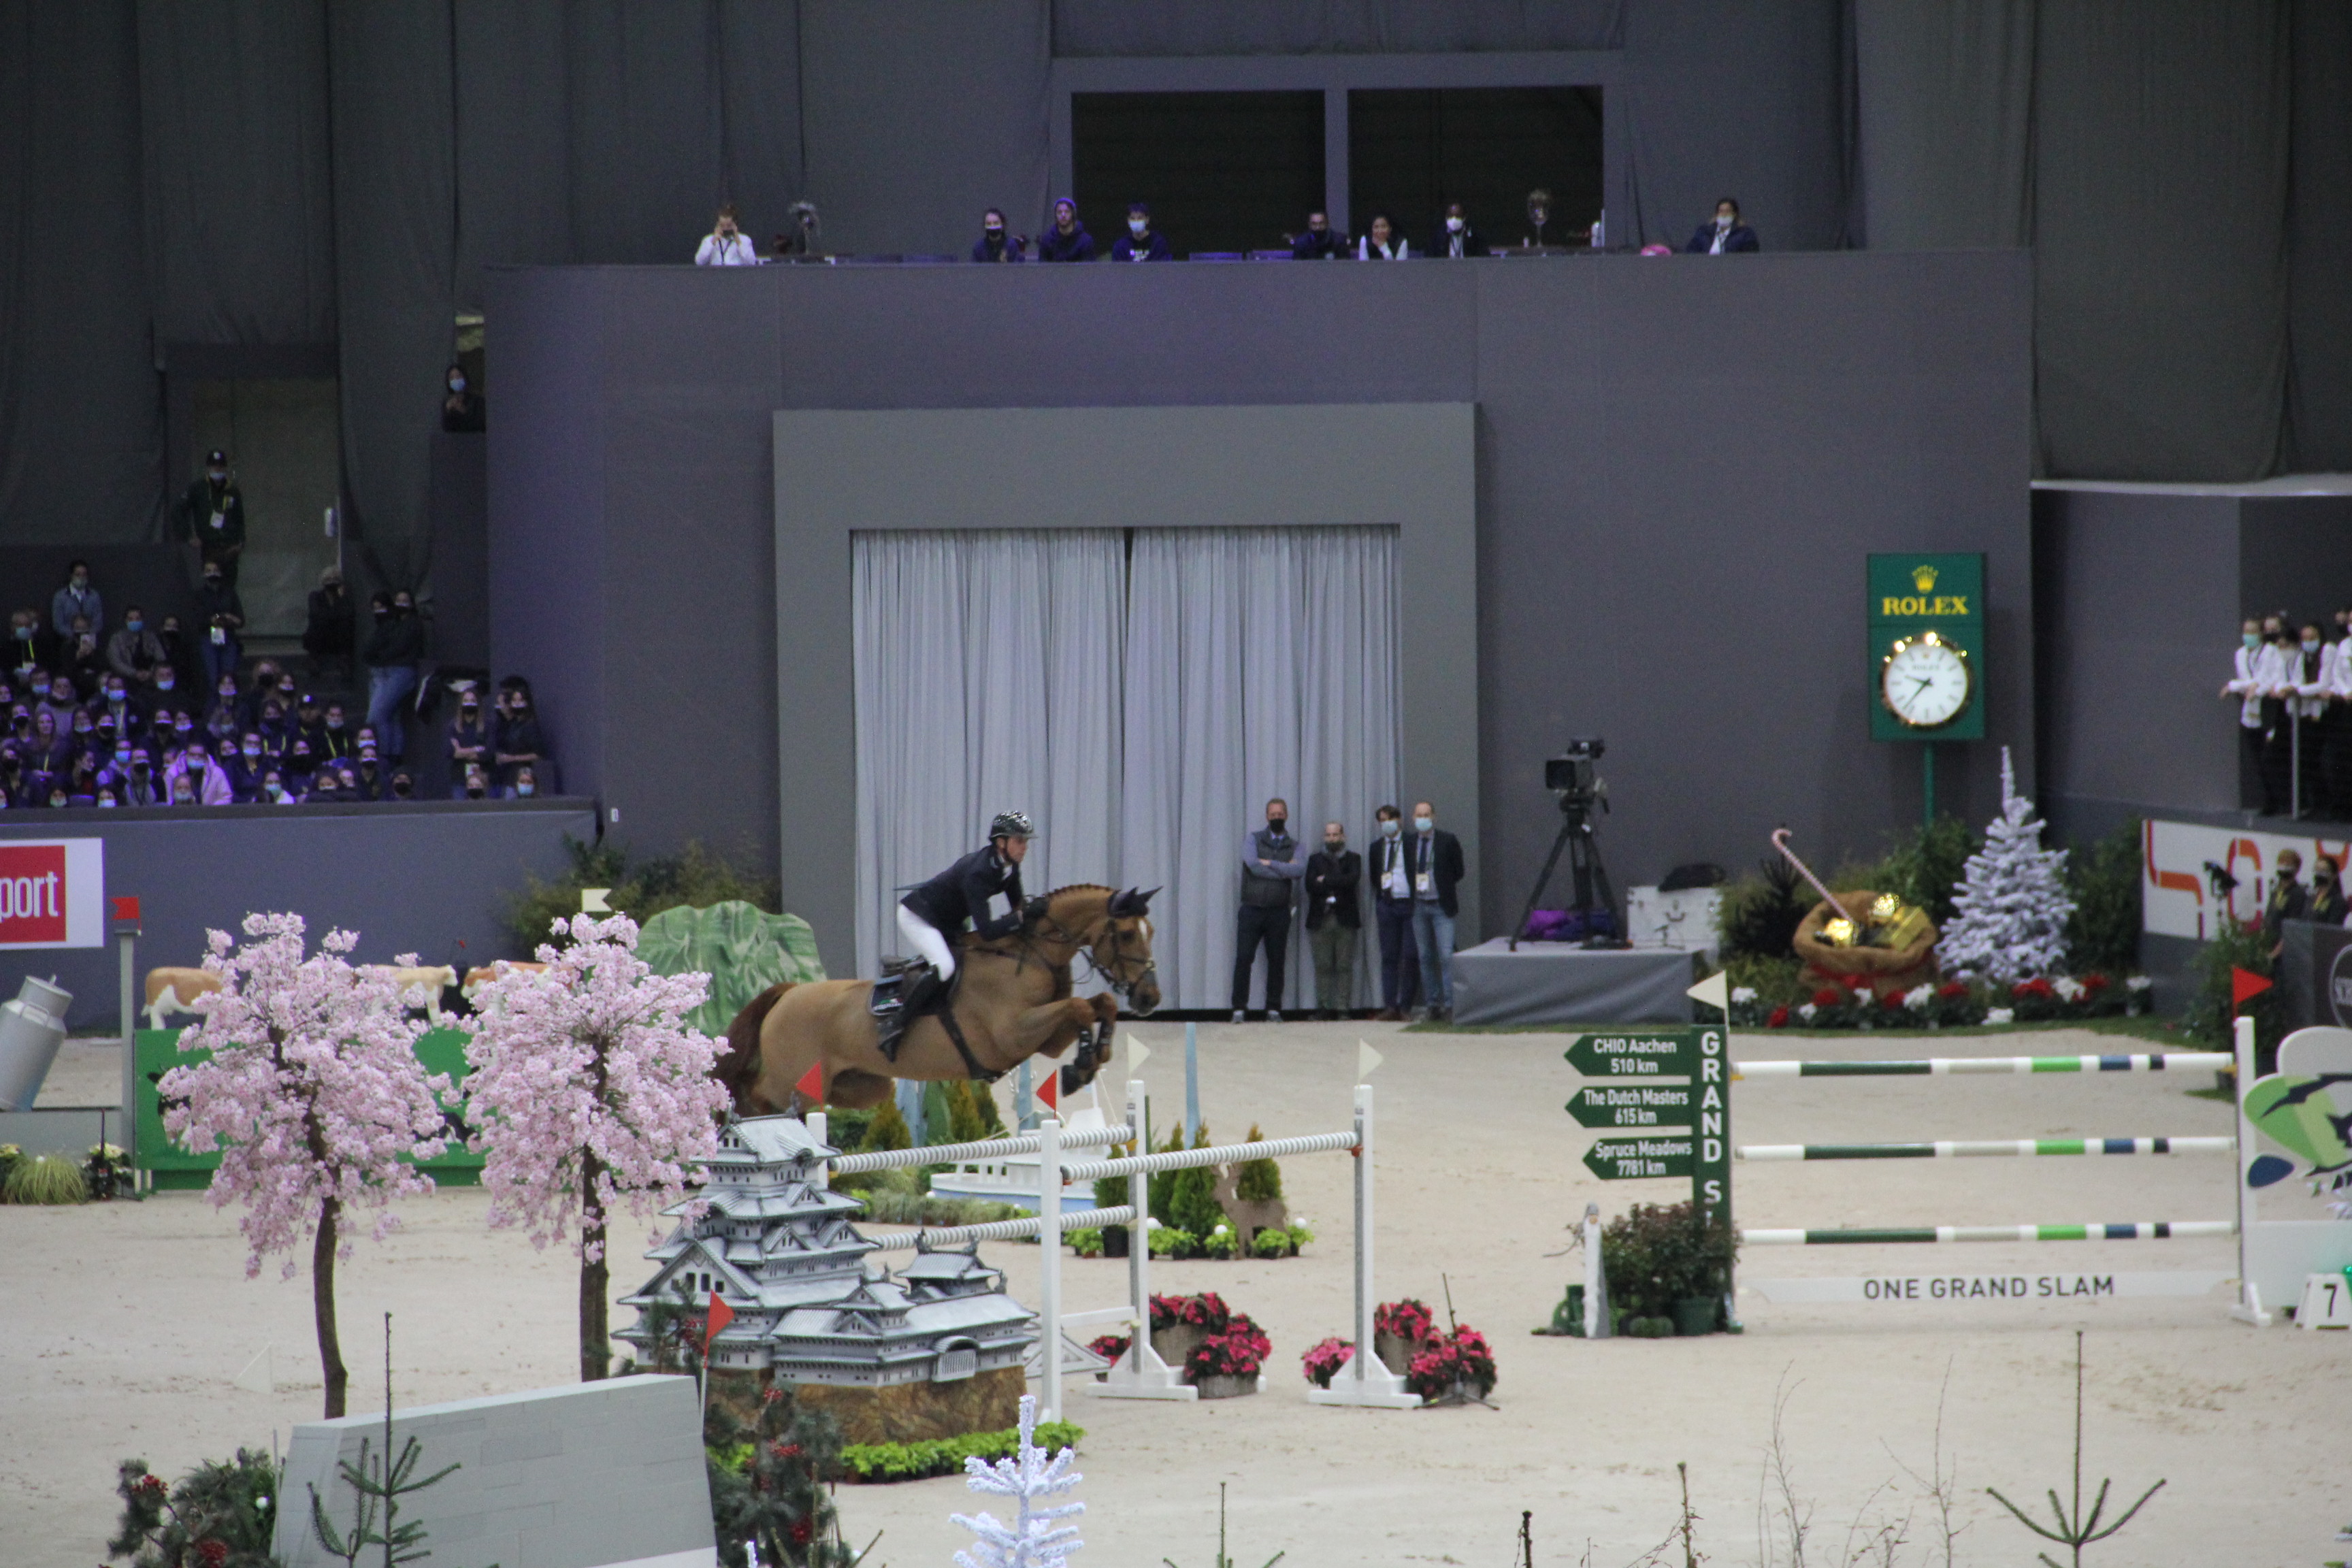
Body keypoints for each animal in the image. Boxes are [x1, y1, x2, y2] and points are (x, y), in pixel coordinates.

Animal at [715, 883, 1157, 1114]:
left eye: (1149, 931)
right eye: (1127, 934)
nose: (1151, 998)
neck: (1028, 956)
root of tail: (789, 992)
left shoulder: (1046, 1039)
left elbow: (1099, 1004)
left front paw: (1091, 1059)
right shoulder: (1012, 1035)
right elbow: (1081, 1007)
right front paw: (1081, 1066)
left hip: (856, 1087)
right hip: (792, 1078)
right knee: (754, 1091)